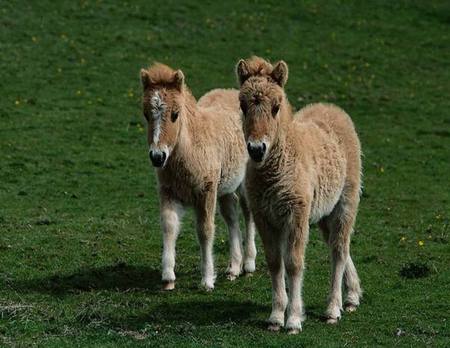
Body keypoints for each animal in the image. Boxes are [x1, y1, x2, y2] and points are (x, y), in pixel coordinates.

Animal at [140, 63, 256, 290]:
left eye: (175, 114)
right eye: (146, 115)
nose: (157, 157)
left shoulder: (206, 191)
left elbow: (205, 230)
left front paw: (207, 280)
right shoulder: (168, 191)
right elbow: (169, 226)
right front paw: (168, 277)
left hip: (243, 182)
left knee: (248, 212)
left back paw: (248, 265)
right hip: (225, 187)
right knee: (231, 215)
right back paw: (233, 268)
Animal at [237, 57, 364, 334]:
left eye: (276, 107)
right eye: (242, 105)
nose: (256, 149)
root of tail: (333, 109)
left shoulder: (295, 213)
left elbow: (294, 263)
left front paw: (293, 319)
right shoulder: (264, 216)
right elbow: (275, 261)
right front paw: (276, 316)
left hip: (345, 202)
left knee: (339, 249)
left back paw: (333, 309)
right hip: (323, 213)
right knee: (337, 244)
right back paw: (351, 296)